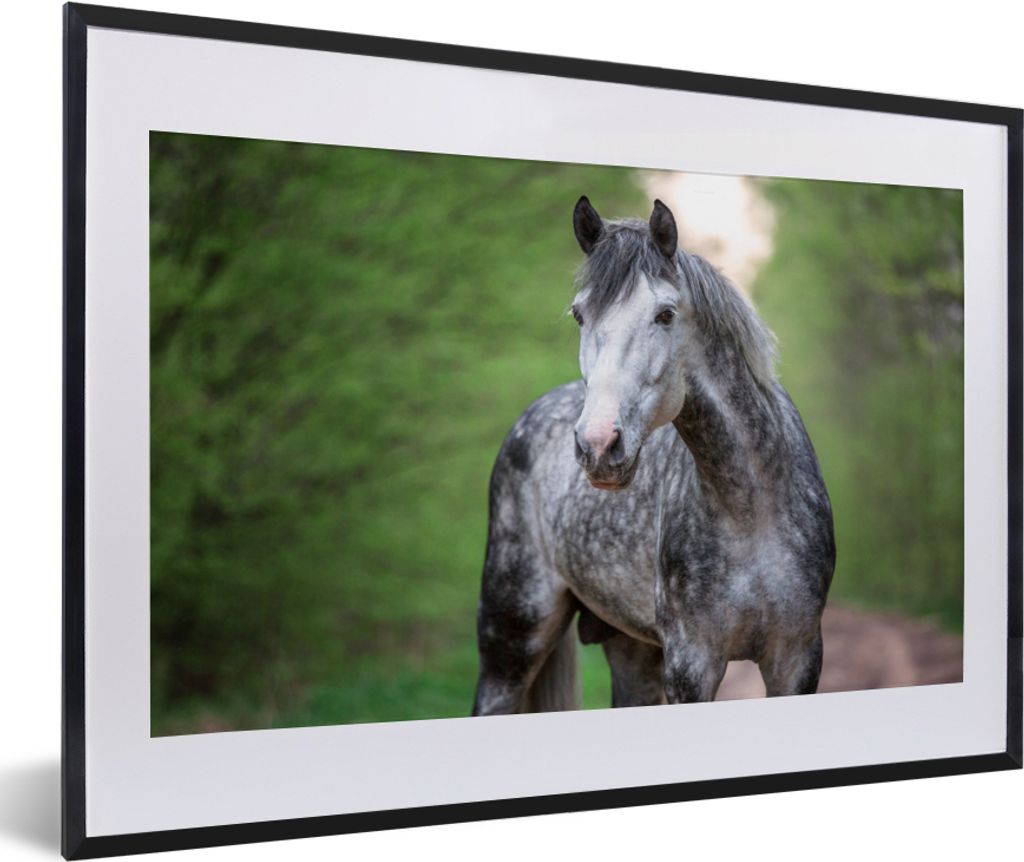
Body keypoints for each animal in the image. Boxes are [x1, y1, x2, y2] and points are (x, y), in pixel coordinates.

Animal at [472, 196, 835, 714]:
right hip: (510, 640)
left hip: (630, 651)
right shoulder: (690, 662)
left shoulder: (797, 658)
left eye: (665, 315)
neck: (752, 510)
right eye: (579, 315)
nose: (598, 446)